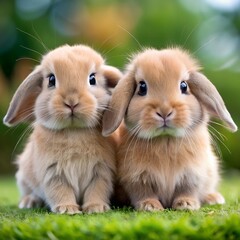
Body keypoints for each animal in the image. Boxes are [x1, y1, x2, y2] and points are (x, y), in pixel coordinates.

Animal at [3, 44, 123, 215]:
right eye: (51, 80)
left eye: (92, 79)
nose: (71, 101)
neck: (74, 131)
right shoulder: (53, 173)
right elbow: (60, 191)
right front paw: (68, 209)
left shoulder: (101, 171)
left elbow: (96, 190)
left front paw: (96, 208)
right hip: (24, 177)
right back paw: (29, 202)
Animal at [101, 47, 238, 211]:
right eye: (142, 87)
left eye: (184, 86)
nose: (165, 111)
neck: (165, 139)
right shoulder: (136, 178)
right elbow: (143, 192)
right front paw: (150, 206)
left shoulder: (193, 174)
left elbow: (187, 190)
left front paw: (186, 204)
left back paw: (213, 198)